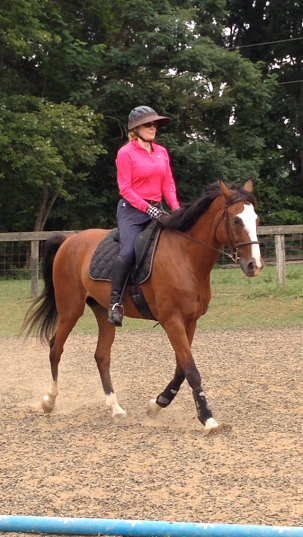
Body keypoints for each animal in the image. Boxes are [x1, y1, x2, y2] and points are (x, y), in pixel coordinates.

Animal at [22, 178, 264, 434]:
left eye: (256, 219)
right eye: (236, 220)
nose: (254, 265)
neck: (185, 256)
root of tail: (69, 240)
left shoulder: (190, 322)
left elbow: (180, 369)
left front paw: (157, 404)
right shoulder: (172, 321)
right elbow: (191, 370)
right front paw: (207, 417)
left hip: (103, 312)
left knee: (101, 356)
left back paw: (115, 408)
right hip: (70, 309)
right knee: (55, 348)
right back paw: (49, 401)